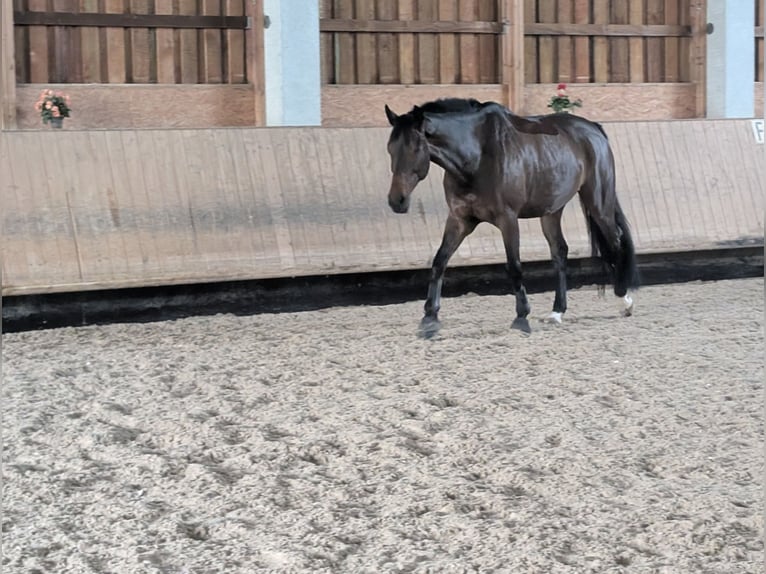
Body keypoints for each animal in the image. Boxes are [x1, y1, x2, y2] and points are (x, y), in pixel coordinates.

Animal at [384, 98, 640, 338]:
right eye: (390, 149)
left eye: (415, 149)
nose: (397, 201)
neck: (477, 155)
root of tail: (594, 129)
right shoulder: (460, 219)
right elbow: (439, 262)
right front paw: (429, 318)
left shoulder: (507, 219)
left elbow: (514, 266)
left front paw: (521, 318)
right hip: (551, 210)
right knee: (560, 251)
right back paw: (557, 312)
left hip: (597, 202)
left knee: (615, 242)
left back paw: (624, 300)